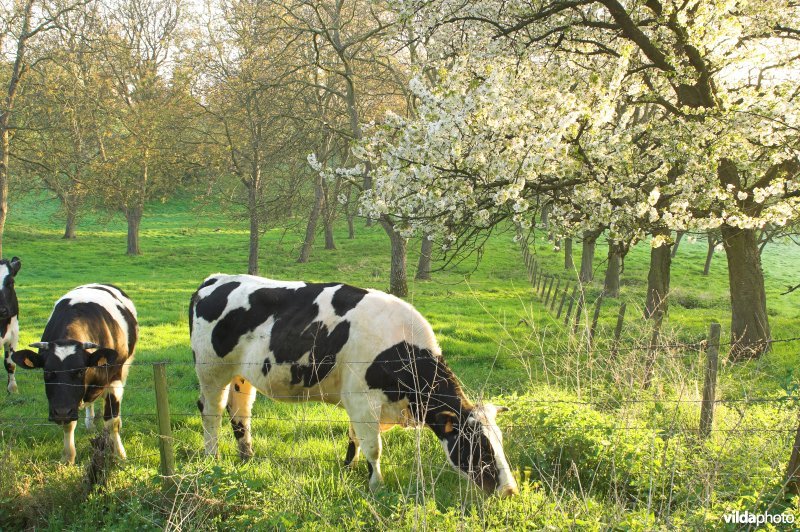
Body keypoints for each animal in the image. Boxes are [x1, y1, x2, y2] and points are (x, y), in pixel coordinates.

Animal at [11, 284, 138, 464]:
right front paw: (68, 457)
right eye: (48, 372)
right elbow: (69, 424)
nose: (61, 412)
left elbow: (112, 420)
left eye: (80, 371)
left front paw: (119, 454)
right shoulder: (65, 404)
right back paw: (90, 424)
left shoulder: (114, 380)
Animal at [191, 274, 520, 498]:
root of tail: (214, 279)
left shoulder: (359, 401)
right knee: (212, 412)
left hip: (242, 376)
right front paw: (376, 485)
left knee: (240, 413)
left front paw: (347, 469)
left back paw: (247, 455)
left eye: (500, 441)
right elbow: (374, 447)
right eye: (477, 444)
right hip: (211, 371)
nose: (509, 490)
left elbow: (355, 439)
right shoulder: (363, 401)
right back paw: (212, 457)